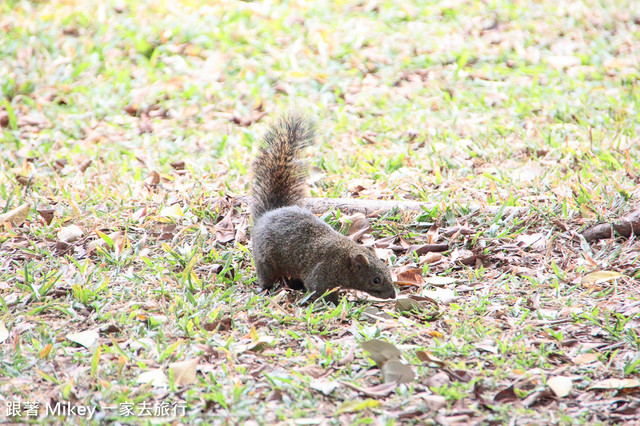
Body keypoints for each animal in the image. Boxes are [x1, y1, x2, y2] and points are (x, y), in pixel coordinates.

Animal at [250, 110, 396, 302]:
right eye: (376, 279)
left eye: (388, 270)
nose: (393, 295)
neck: (345, 261)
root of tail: (269, 213)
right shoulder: (322, 272)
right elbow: (319, 290)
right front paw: (336, 302)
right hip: (264, 259)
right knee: (266, 274)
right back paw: (265, 288)